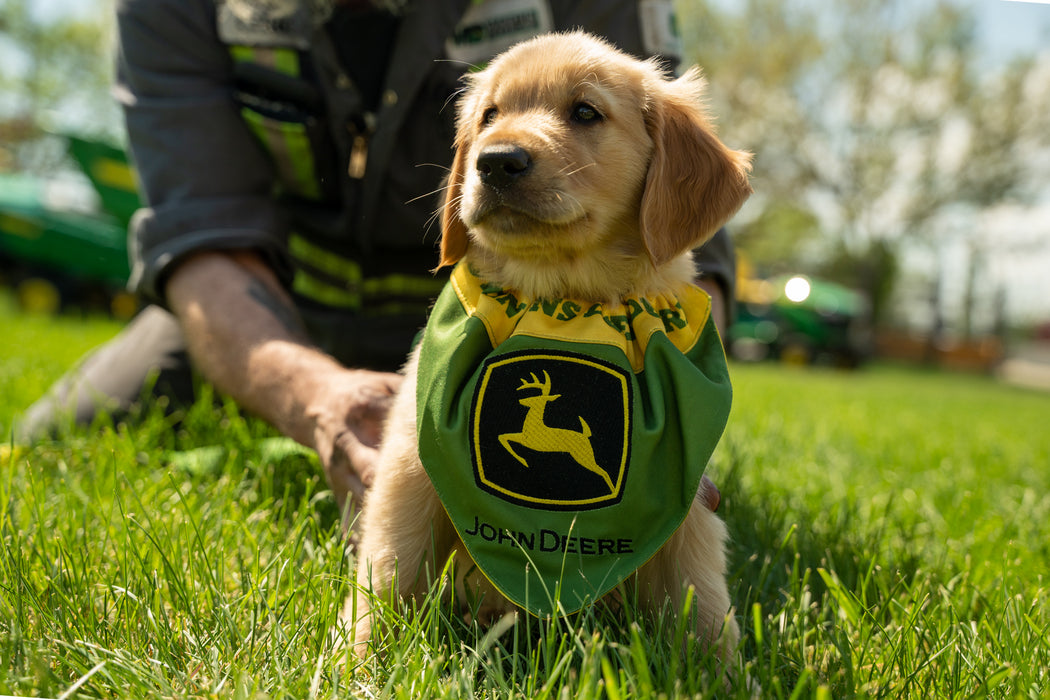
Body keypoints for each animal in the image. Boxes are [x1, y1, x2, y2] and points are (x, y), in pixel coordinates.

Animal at [348, 30, 751, 671]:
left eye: (585, 112)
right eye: (488, 116)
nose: (495, 161)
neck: (564, 306)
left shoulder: (687, 493)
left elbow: (701, 597)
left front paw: (722, 675)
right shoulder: (408, 466)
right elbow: (388, 571)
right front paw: (359, 664)